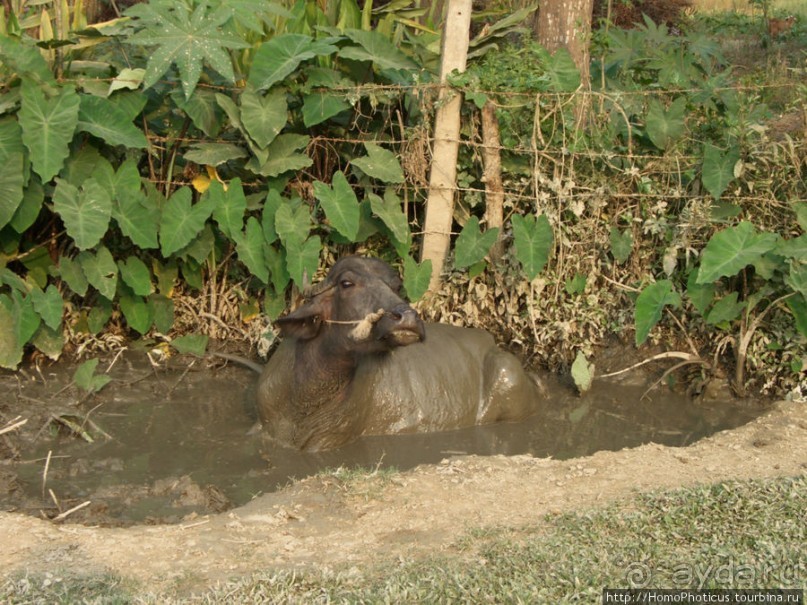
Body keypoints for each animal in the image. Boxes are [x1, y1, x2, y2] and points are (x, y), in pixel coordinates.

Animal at [258, 255, 548, 448]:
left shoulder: (328, 439)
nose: (407, 317)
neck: (302, 395)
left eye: (395, 286)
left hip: (506, 373)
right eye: (346, 283)